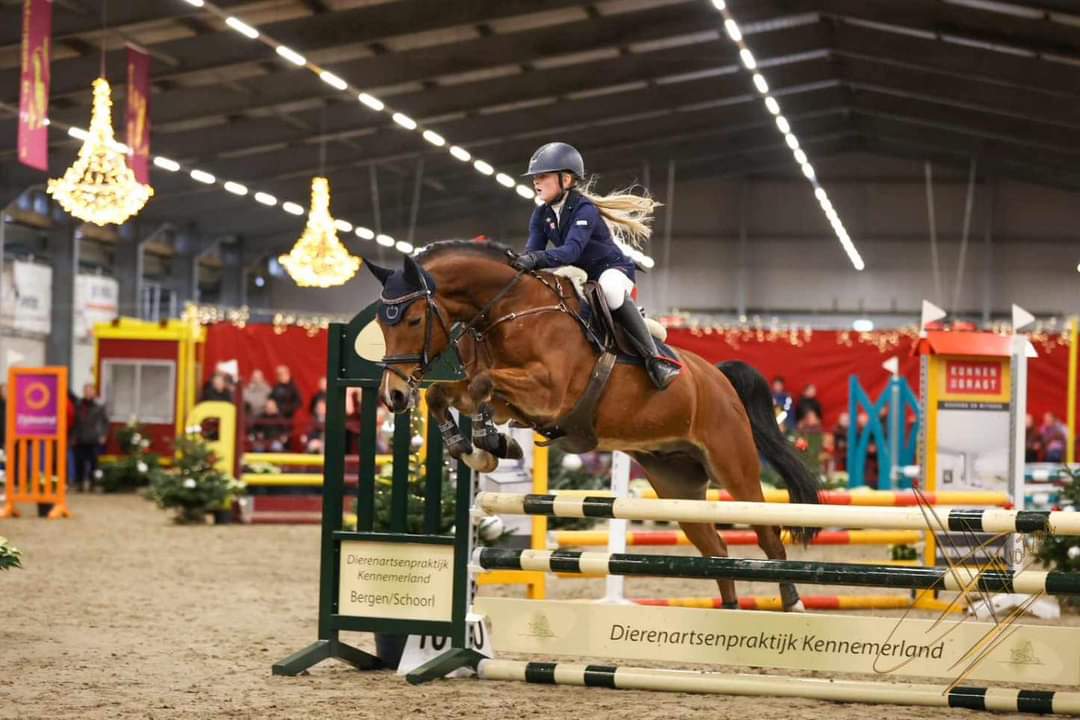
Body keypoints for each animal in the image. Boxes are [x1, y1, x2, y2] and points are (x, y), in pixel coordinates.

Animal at [362, 240, 816, 608]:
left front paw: (487, 445)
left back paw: (793, 605)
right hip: (677, 485)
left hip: (733, 466)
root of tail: (719, 378)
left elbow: (482, 383)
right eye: (382, 322)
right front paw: (476, 448)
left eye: (413, 320)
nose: (393, 396)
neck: (512, 310)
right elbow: (448, 394)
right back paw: (729, 616)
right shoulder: (516, 403)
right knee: (716, 550)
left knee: (768, 536)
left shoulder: (548, 396)